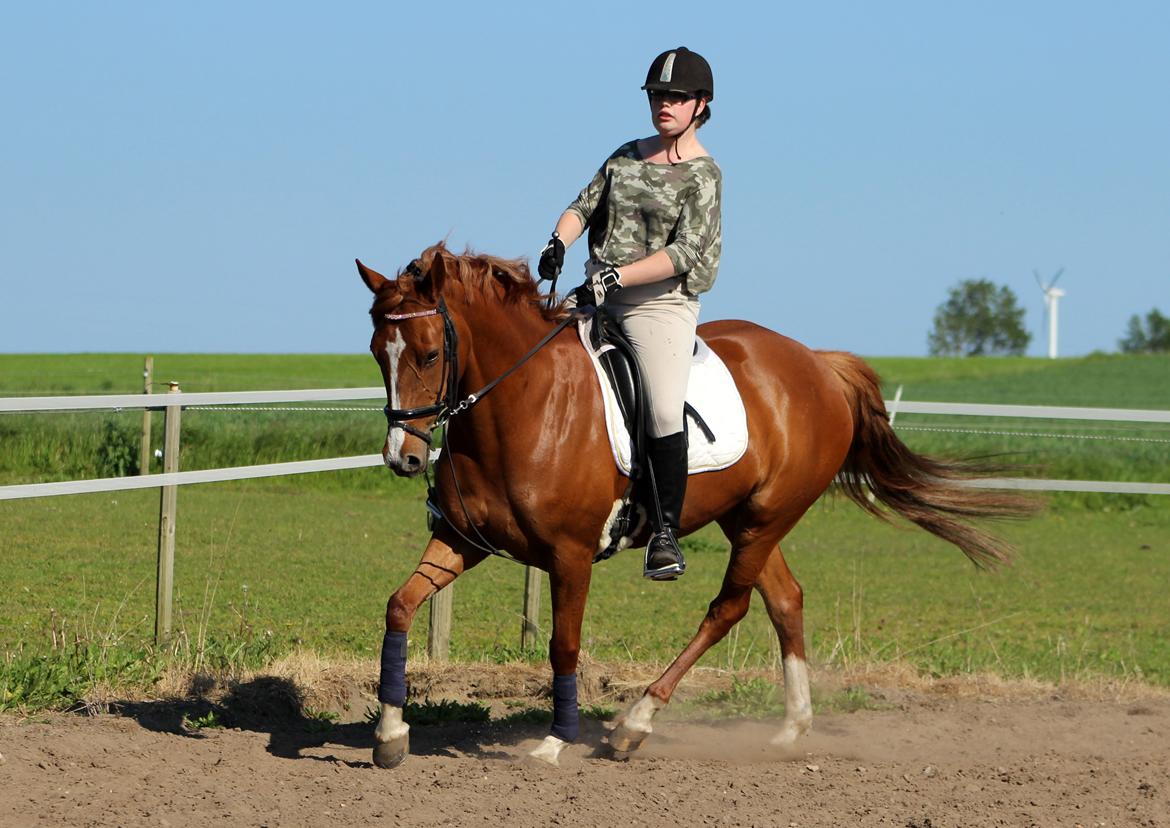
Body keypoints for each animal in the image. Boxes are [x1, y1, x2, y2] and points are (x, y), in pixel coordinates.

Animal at [358, 242, 1030, 769]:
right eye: (375, 351)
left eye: (429, 354)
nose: (403, 458)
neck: (521, 406)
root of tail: (817, 363)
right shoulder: (461, 541)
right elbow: (399, 606)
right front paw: (390, 733)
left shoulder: (569, 557)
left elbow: (563, 645)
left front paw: (554, 743)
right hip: (748, 520)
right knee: (785, 601)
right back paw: (791, 728)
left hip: (765, 519)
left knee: (730, 607)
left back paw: (636, 723)